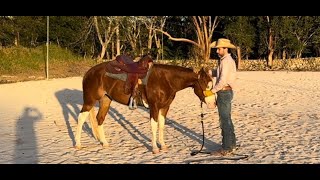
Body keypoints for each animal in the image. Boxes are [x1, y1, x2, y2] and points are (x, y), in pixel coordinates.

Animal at [74, 54, 215, 153]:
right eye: (206, 85)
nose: (213, 104)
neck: (165, 79)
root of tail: (88, 73)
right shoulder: (154, 107)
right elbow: (154, 125)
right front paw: (155, 148)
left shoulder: (164, 107)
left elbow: (161, 125)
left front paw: (163, 145)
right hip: (90, 101)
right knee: (81, 118)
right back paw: (78, 144)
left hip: (105, 100)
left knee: (100, 118)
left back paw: (104, 143)